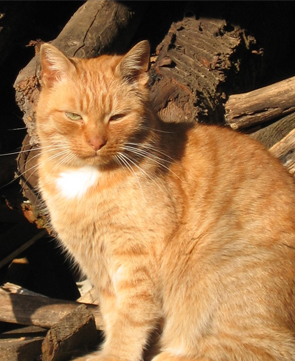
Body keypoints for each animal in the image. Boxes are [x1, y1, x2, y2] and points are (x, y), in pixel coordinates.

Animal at [35, 39, 295, 360]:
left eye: (117, 117)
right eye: (74, 116)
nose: (96, 142)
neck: (87, 179)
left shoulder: (136, 258)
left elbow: (131, 319)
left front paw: (114, 355)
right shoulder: (98, 268)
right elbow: (112, 315)